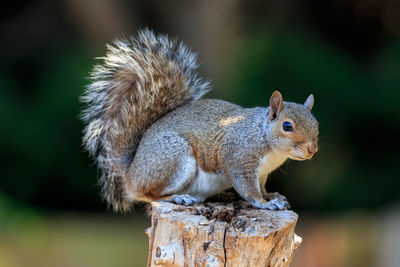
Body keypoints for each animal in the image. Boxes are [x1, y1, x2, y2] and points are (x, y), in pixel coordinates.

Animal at [80, 29, 318, 214]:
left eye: (316, 124)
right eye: (287, 126)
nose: (312, 149)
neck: (264, 136)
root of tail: (131, 175)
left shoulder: (262, 172)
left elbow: (262, 187)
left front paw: (272, 196)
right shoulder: (238, 158)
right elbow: (249, 190)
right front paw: (264, 203)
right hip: (172, 158)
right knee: (148, 194)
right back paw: (176, 197)